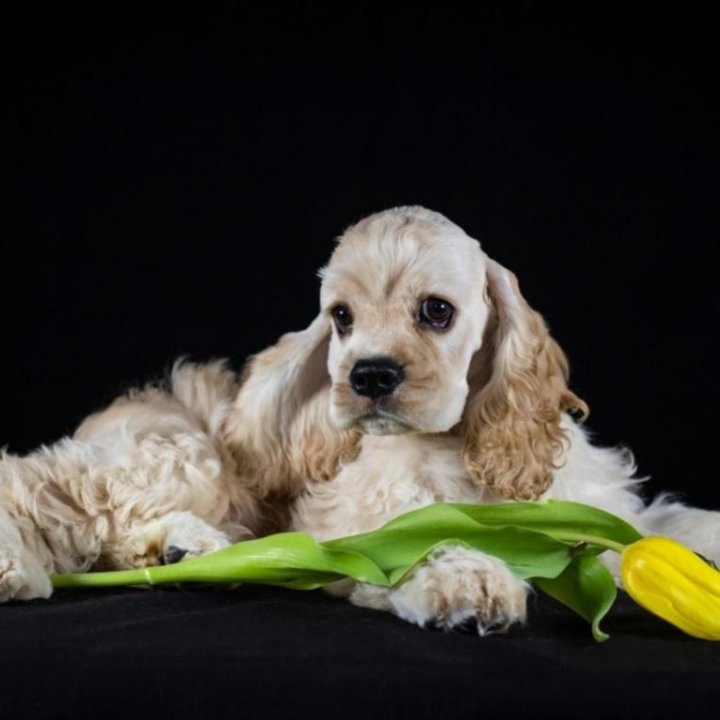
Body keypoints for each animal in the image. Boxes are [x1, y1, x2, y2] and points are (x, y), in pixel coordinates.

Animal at [1, 205, 720, 632]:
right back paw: (18, 567)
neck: (454, 444)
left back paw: (187, 551)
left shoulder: (598, 505)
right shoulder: (359, 521)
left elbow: (662, 526)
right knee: (32, 485)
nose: (368, 375)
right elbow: (419, 536)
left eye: (436, 310)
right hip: (180, 457)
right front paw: (467, 578)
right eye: (341, 316)